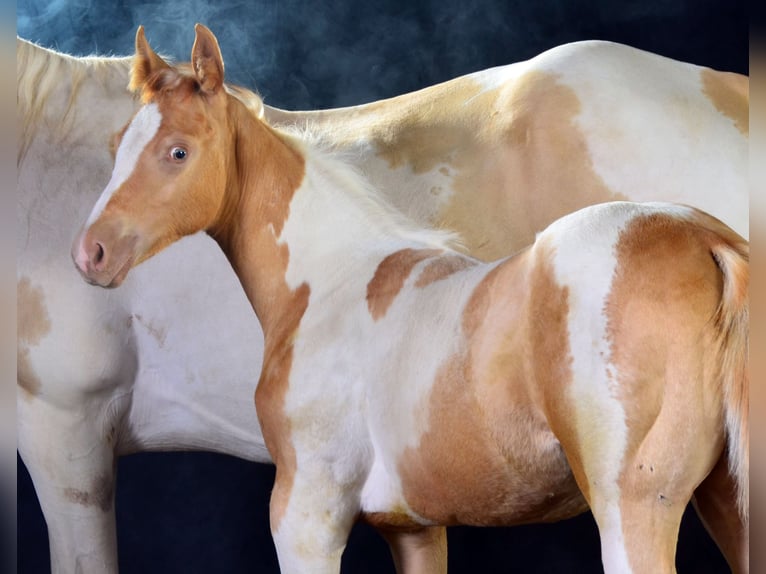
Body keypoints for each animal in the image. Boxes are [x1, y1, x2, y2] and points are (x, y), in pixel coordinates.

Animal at [18, 24, 747, 572]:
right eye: (119, 145)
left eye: (177, 151)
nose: (92, 253)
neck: (335, 281)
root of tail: (711, 242)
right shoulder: (413, 527)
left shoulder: (303, 514)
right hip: (730, 502)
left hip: (632, 511)